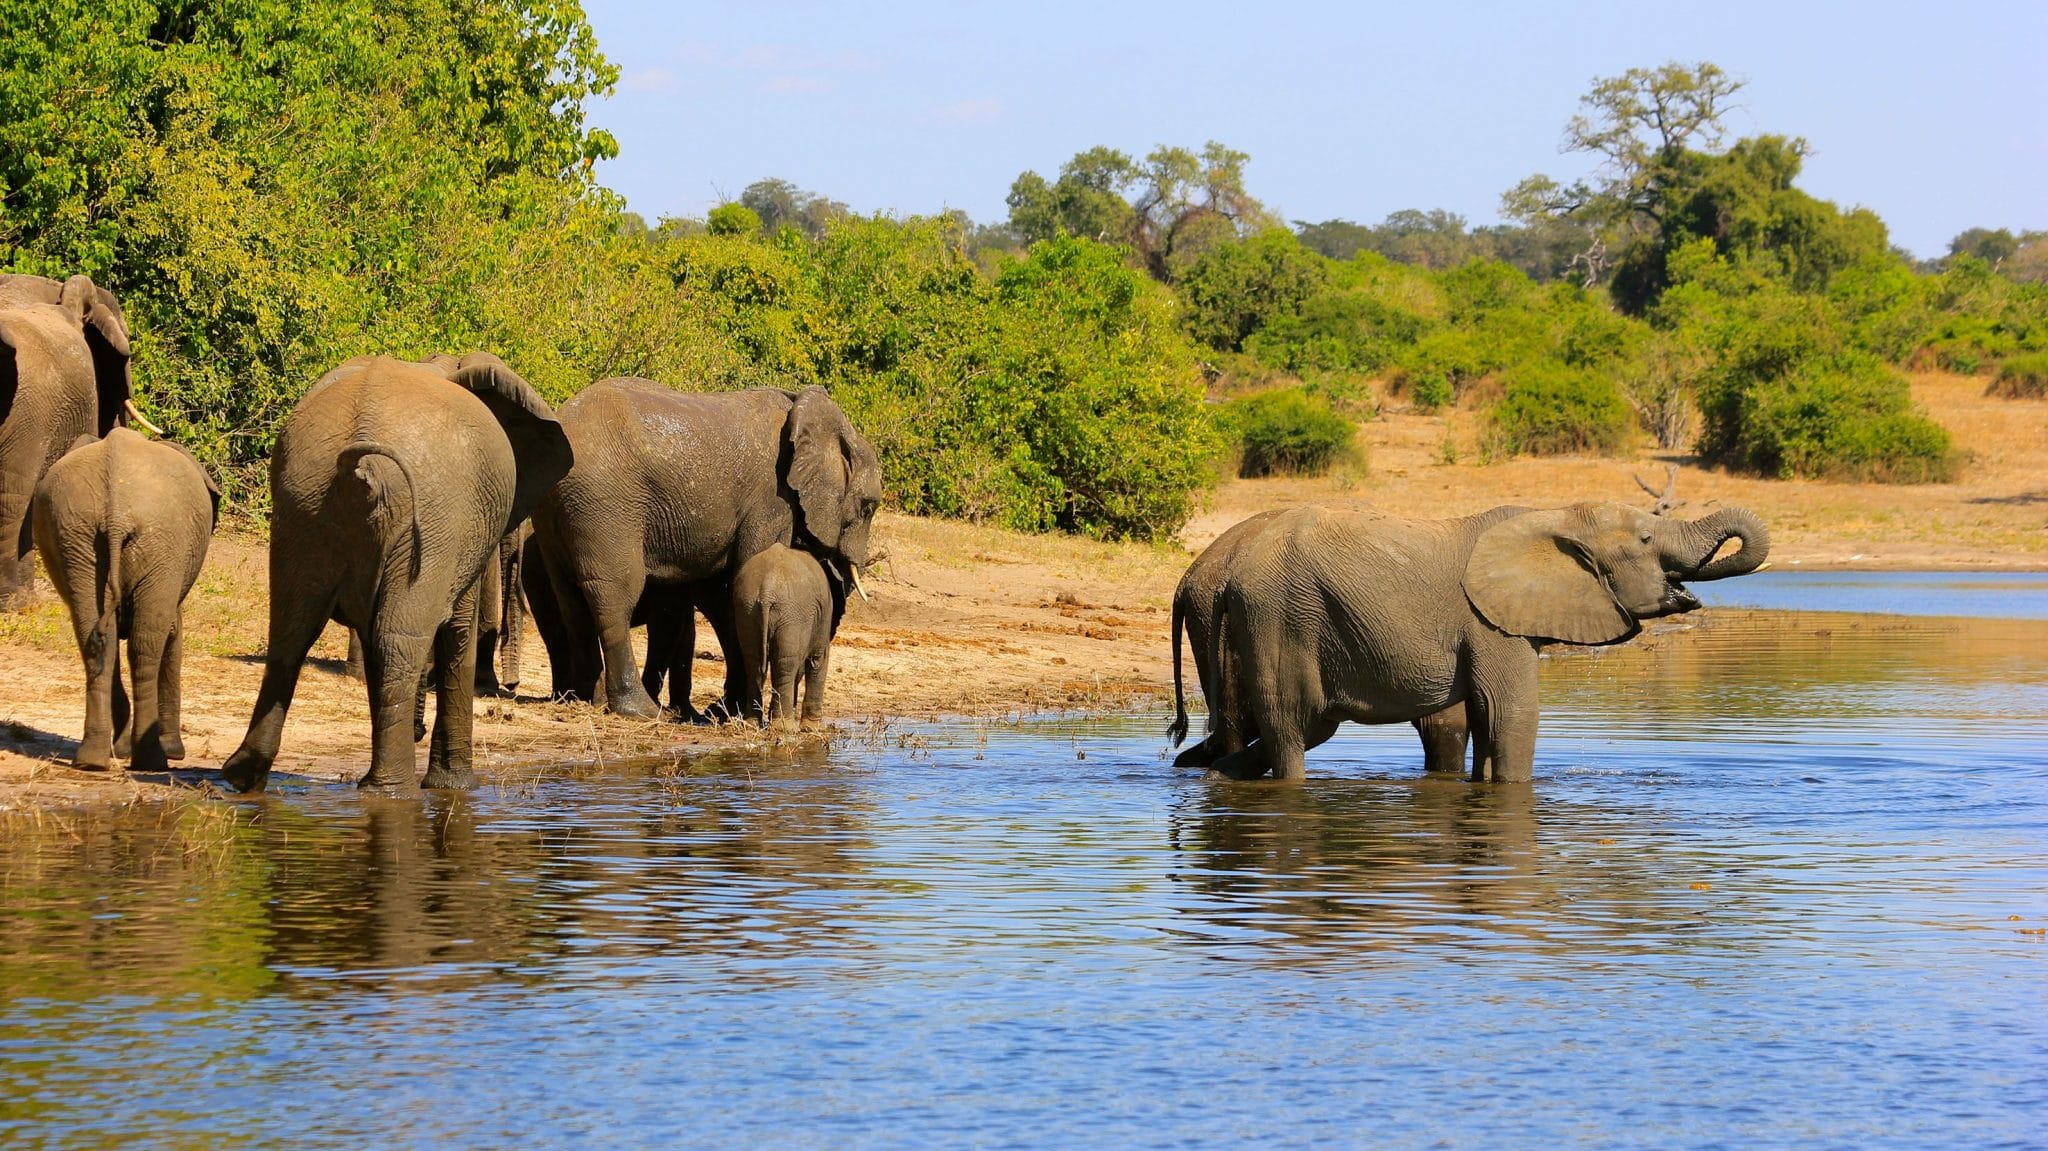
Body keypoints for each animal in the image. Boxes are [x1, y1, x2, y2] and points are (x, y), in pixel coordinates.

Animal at [31, 428, 219, 770]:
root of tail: (115, 513)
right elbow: (173, 634)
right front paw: (174, 751)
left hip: (79, 539)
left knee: (95, 641)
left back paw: (93, 760)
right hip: (159, 540)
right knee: (147, 644)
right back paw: (152, 759)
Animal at [220, 352, 573, 792]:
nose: (512, 687)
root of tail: (360, 458)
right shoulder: (460, 527)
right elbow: (457, 628)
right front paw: (454, 787)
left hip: (302, 504)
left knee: (292, 632)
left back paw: (243, 776)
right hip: (426, 515)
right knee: (398, 638)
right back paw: (392, 790)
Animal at [732, 544, 846, 731]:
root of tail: (767, 590)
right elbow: (818, 660)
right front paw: (813, 728)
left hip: (746, 609)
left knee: (753, 662)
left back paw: (751, 724)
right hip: (791, 614)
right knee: (785, 664)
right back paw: (785, 727)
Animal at [1193, 501, 1769, 783]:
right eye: (1647, 540)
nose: (1684, 591)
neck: (1554, 517)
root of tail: (1233, 575)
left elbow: (1485, 715)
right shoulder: (1490, 623)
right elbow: (1512, 712)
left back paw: (1210, 774)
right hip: (1281, 618)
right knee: (1294, 729)